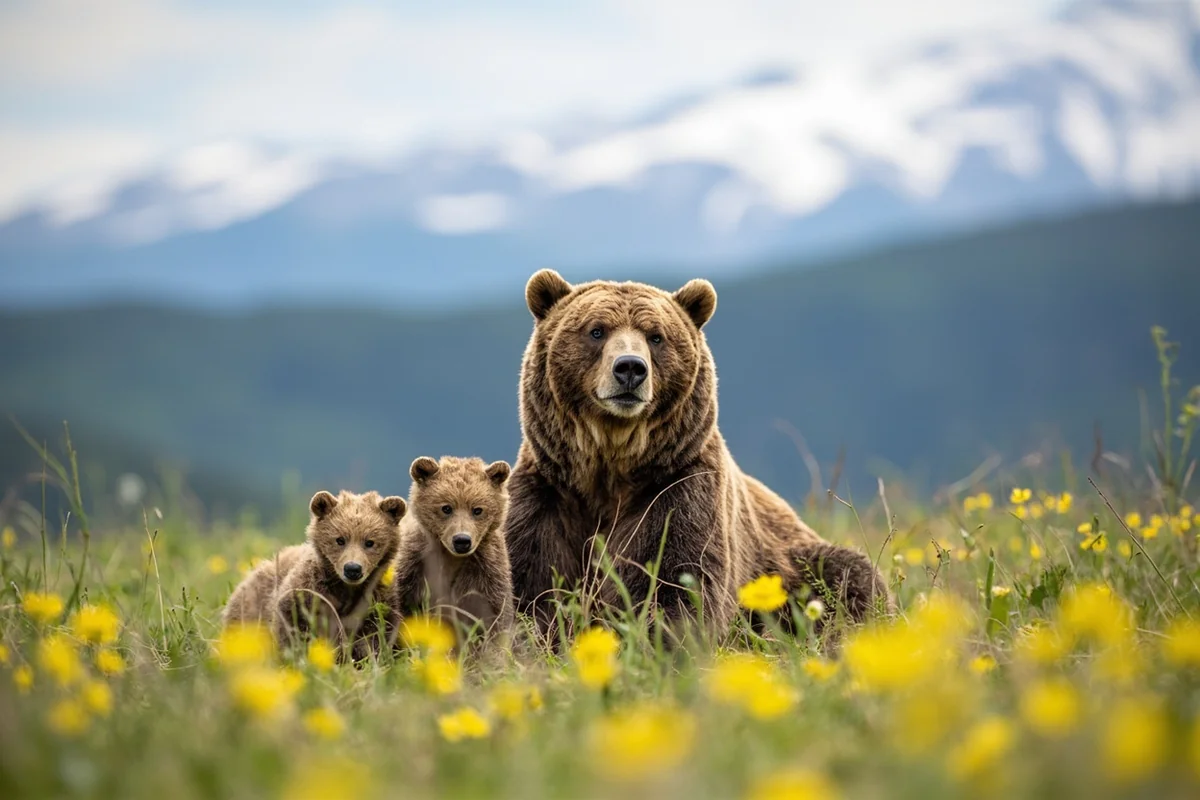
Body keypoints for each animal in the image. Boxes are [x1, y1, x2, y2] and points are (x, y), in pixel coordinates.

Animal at [270, 489, 407, 661]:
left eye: (370, 542)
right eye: (340, 540)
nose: (353, 569)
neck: (346, 588)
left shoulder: (378, 598)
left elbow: (376, 633)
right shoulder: (310, 591)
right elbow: (294, 621)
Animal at [387, 456, 515, 650]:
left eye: (477, 509)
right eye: (446, 508)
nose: (462, 540)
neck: (451, 558)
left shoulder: (487, 571)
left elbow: (494, 616)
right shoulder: (415, 568)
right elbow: (406, 609)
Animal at [502, 269, 890, 638]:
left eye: (656, 336)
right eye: (596, 331)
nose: (630, 368)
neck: (611, 466)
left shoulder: (678, 488)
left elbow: (678, 581)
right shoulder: (548, 495)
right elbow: (527, 582)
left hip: (791, 562)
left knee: (852, 576)